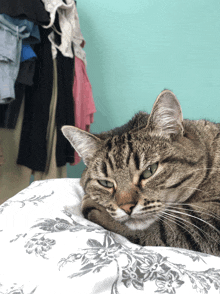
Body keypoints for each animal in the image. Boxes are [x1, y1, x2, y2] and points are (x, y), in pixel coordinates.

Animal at [61, 90, 220, 256]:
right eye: (105, 183)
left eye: (149, 171)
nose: (126, 207)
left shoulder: (211, 221)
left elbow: (166, 229)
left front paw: (93, 207)